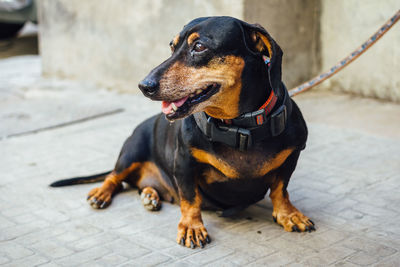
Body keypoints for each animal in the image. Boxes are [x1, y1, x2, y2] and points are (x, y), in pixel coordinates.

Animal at [50, 16, 314, 249]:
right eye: (172, 46)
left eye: (199, 46)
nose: (144, 86)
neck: (239, 127)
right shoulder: (184, 163)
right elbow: (189, 199)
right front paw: (191, 227)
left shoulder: (292, 156)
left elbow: (280, 189)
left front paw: (288, 214)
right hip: (131, 152)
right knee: (114, 176)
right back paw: (102, 193)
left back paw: (150, 195)